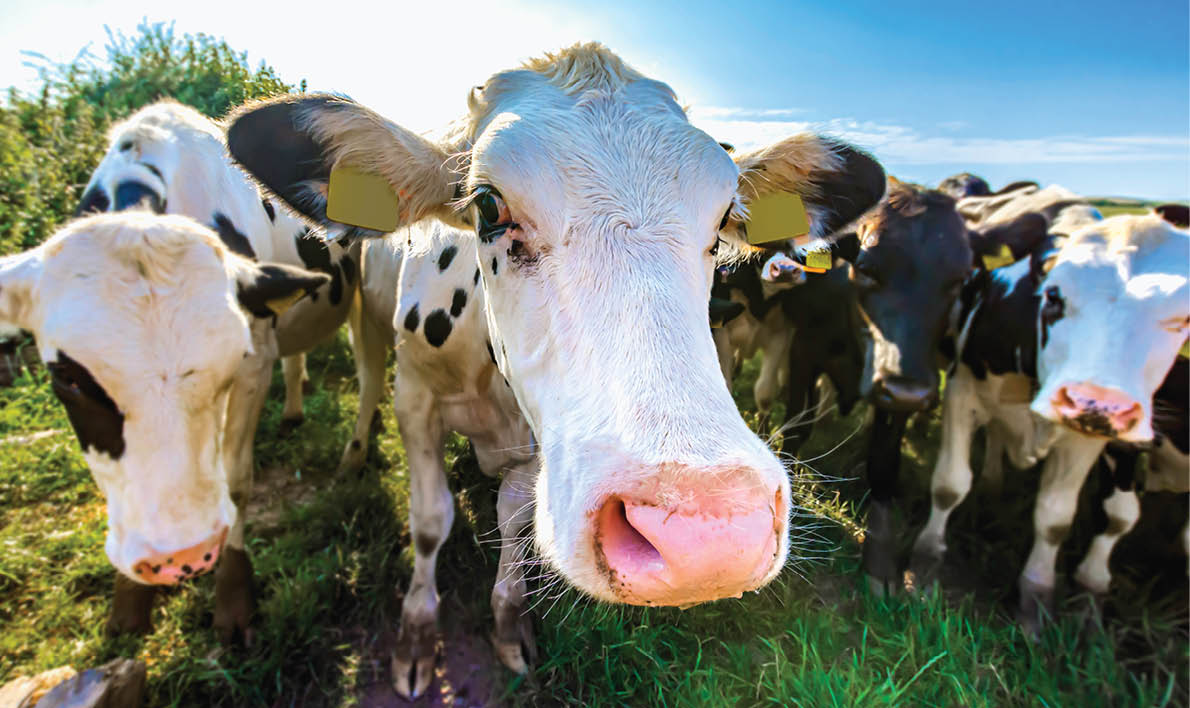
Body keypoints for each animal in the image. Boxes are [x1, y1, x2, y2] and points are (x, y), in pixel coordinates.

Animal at [0, 212, 327, 641]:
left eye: (236, 358)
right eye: (68, 379)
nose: (185, 557)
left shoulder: (256, 363)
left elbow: (237, 482)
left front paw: (234, 599)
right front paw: (129, 602)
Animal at [223, 43, 886, 697]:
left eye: (724, 220)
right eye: (488, 205)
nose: (708, 538)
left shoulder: (540, 445)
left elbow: (513, 519)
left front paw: (509, 621)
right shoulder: (415, 399)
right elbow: (431, 520)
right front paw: (416, 635)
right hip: (364, 314)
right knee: (364, 381)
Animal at [910, 212, 1188, 633]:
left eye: (1183, 318)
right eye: (1054, 296)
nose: (1097, 403)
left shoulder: (1087, 438)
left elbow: (1060, 518)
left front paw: (1038, 600)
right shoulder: (962, 389)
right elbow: (949, 484)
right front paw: (927, 560)